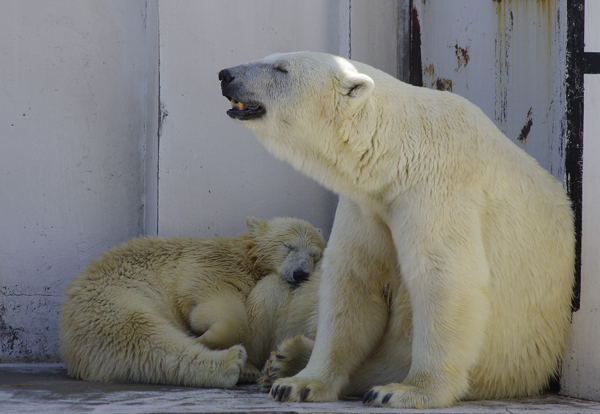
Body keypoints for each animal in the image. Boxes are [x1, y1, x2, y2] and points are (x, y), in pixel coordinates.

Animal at [218, 51, 576, 408]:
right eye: (270, 58)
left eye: (281, 68)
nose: (225, 75)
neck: (400, 153)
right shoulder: (368, 206)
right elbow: (354, 282)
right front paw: (300, 384)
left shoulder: (437, 189)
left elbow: (444, 279)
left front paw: (406, 391)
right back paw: (283, 362)